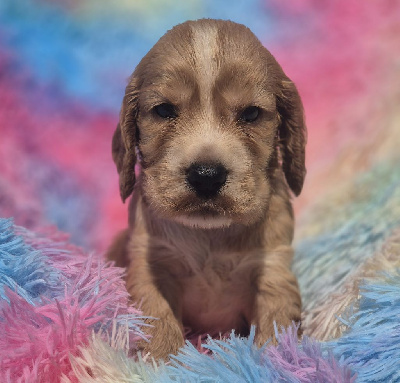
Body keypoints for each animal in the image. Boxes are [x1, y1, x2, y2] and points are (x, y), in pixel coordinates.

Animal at [107, 17, 306, 360]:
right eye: (164, 110)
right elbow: (155, 315)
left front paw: (277, 358)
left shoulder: (272, 264)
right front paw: (161, 359)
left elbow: (277, 317)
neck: (209, 234)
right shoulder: (150, 263)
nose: (206, 175)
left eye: (251, 113)